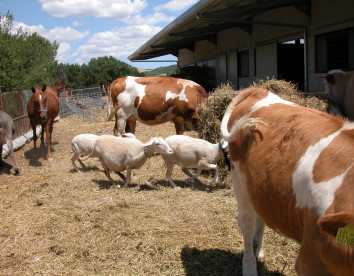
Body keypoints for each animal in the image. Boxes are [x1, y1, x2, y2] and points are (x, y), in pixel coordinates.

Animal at [220, 87, 352, 276]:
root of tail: (259, 90)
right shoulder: (311, 259)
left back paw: (258, 249)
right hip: (239, 175)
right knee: (246, 220)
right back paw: (250, 265)